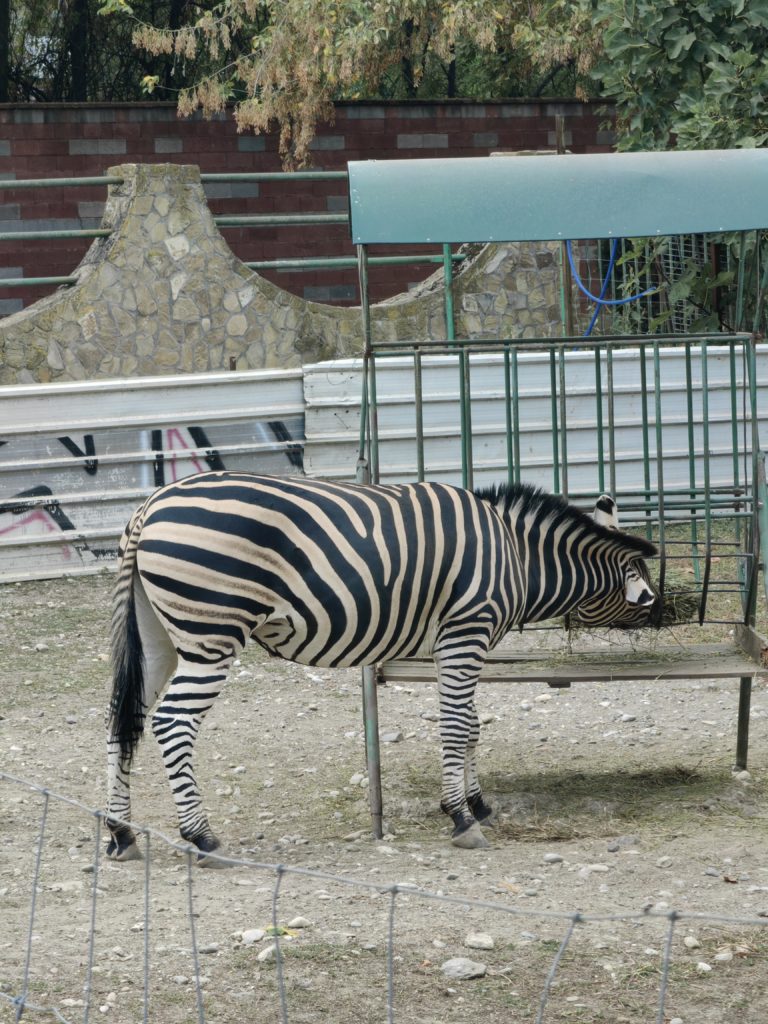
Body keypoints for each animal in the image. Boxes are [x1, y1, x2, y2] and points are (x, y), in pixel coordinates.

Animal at [107, 475, 663, 860]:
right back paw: (201, 836)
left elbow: (472, 724)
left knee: (123, 721)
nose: (662, 612)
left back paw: (121, 832)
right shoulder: (466, 631)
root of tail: (149, 507)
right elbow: (457, 725)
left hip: (157, 638)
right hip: (212, 636)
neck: (514, 554)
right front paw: (461, 817)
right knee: (172, 723)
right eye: (642, 579)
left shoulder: (455, 643)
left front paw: (477, 803)